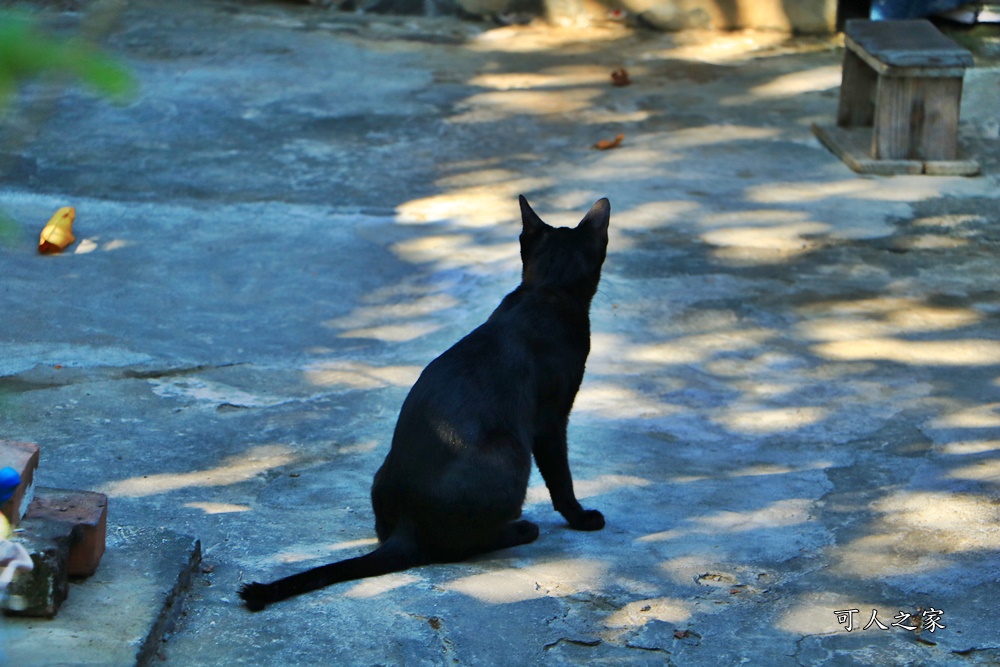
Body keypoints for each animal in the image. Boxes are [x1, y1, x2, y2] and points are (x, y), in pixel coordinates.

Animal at [240, 194, 608, 612]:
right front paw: (581, 517)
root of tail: (407, 527)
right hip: (511, 451)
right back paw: (521, 529)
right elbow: (561, 478)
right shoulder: (550, 420)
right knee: (458, 548)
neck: (544, 291)